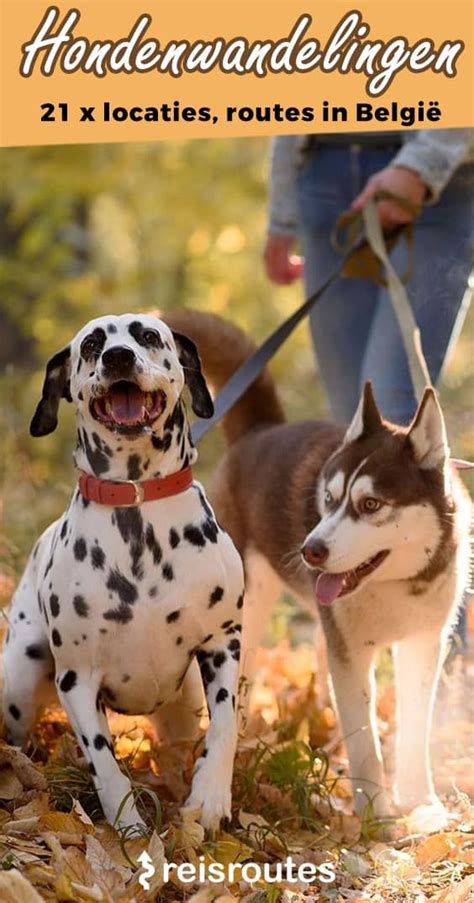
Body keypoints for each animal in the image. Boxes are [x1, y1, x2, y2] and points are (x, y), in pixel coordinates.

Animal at [3, 312, 246, 832]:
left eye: (149, 335)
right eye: (92, 344)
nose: (118, 357)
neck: (137, 508)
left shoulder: (223, 643)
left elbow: (226, 724)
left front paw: (210, 797)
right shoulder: (77, 679)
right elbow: (103, 759)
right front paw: (129, 826)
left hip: (184, 702)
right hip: (19, 676)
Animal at [162, 308, 470, 820]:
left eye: (370, 505)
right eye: (328, 499)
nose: (311, 551)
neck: (398, 584)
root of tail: (260, 431)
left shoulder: (423, 644)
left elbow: (414, 730)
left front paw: (421, 804)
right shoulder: (351, 651)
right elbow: (365, 739)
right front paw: (375, 815)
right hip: (245, 604)